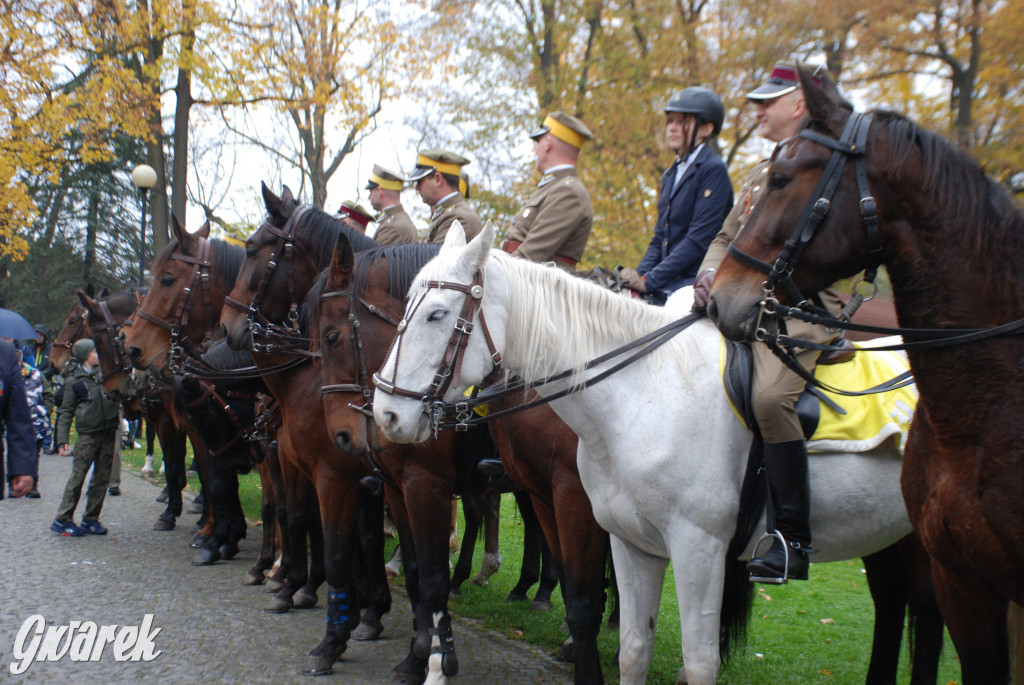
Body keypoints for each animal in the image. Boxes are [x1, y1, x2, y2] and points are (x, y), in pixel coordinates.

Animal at [311, 236, 610, 683]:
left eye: (331, 336)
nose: (344, 436)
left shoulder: (427, 483)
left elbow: (432, 575)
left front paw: (437, 660)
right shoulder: (397, 487)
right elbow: (416, 571)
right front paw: (417, 655)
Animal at [370, 222, 929, 679]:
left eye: (437, 314)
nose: (385, 414)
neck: (643, 397)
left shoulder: (696, 548)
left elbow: (686, 654)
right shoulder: (627, 540)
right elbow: (632, 644)